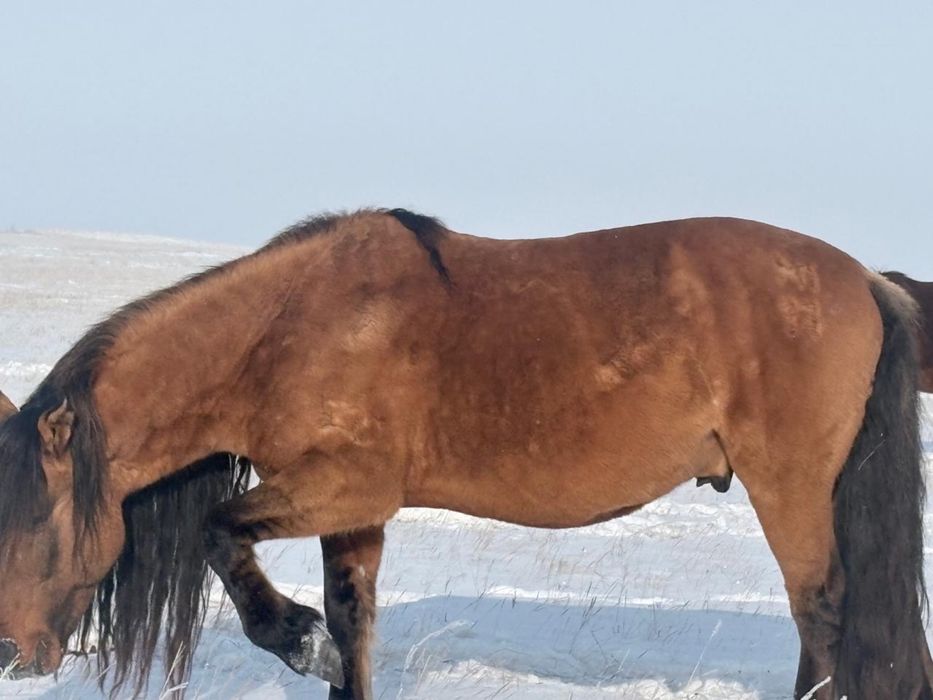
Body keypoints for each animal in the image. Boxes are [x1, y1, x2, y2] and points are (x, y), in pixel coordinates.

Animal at [0, 209, 930, 700]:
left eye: (31, 528)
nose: (11, 654)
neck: (288, 328)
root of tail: (863, 280)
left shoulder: (343, 485)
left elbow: (222, 536)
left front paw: (295, 640)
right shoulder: (354, 515)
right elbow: (354, 623)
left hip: (789, 484)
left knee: (819, 610)